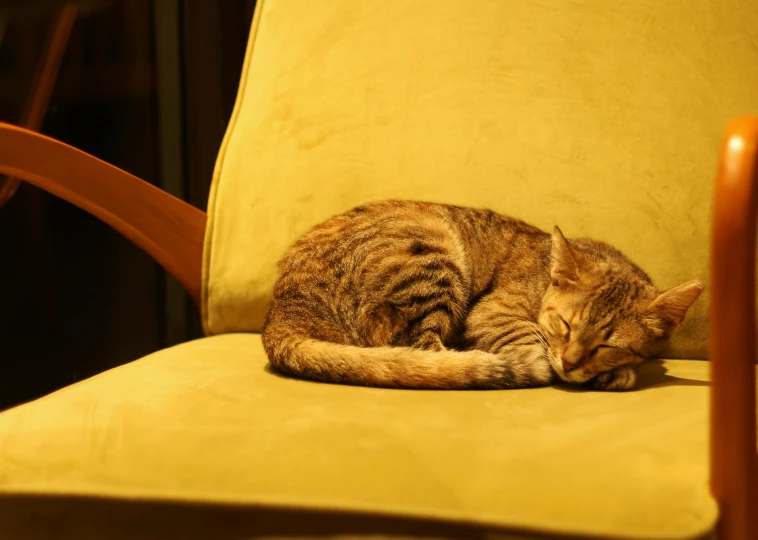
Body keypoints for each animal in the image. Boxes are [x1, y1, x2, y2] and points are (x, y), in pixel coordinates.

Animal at [262, 200, 708, 390]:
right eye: (564, 324)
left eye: (609, 344)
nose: (569, 361)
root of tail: (283, 311)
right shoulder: (494, 312)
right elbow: (531, 341)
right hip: (434, 259)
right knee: (425, 355)